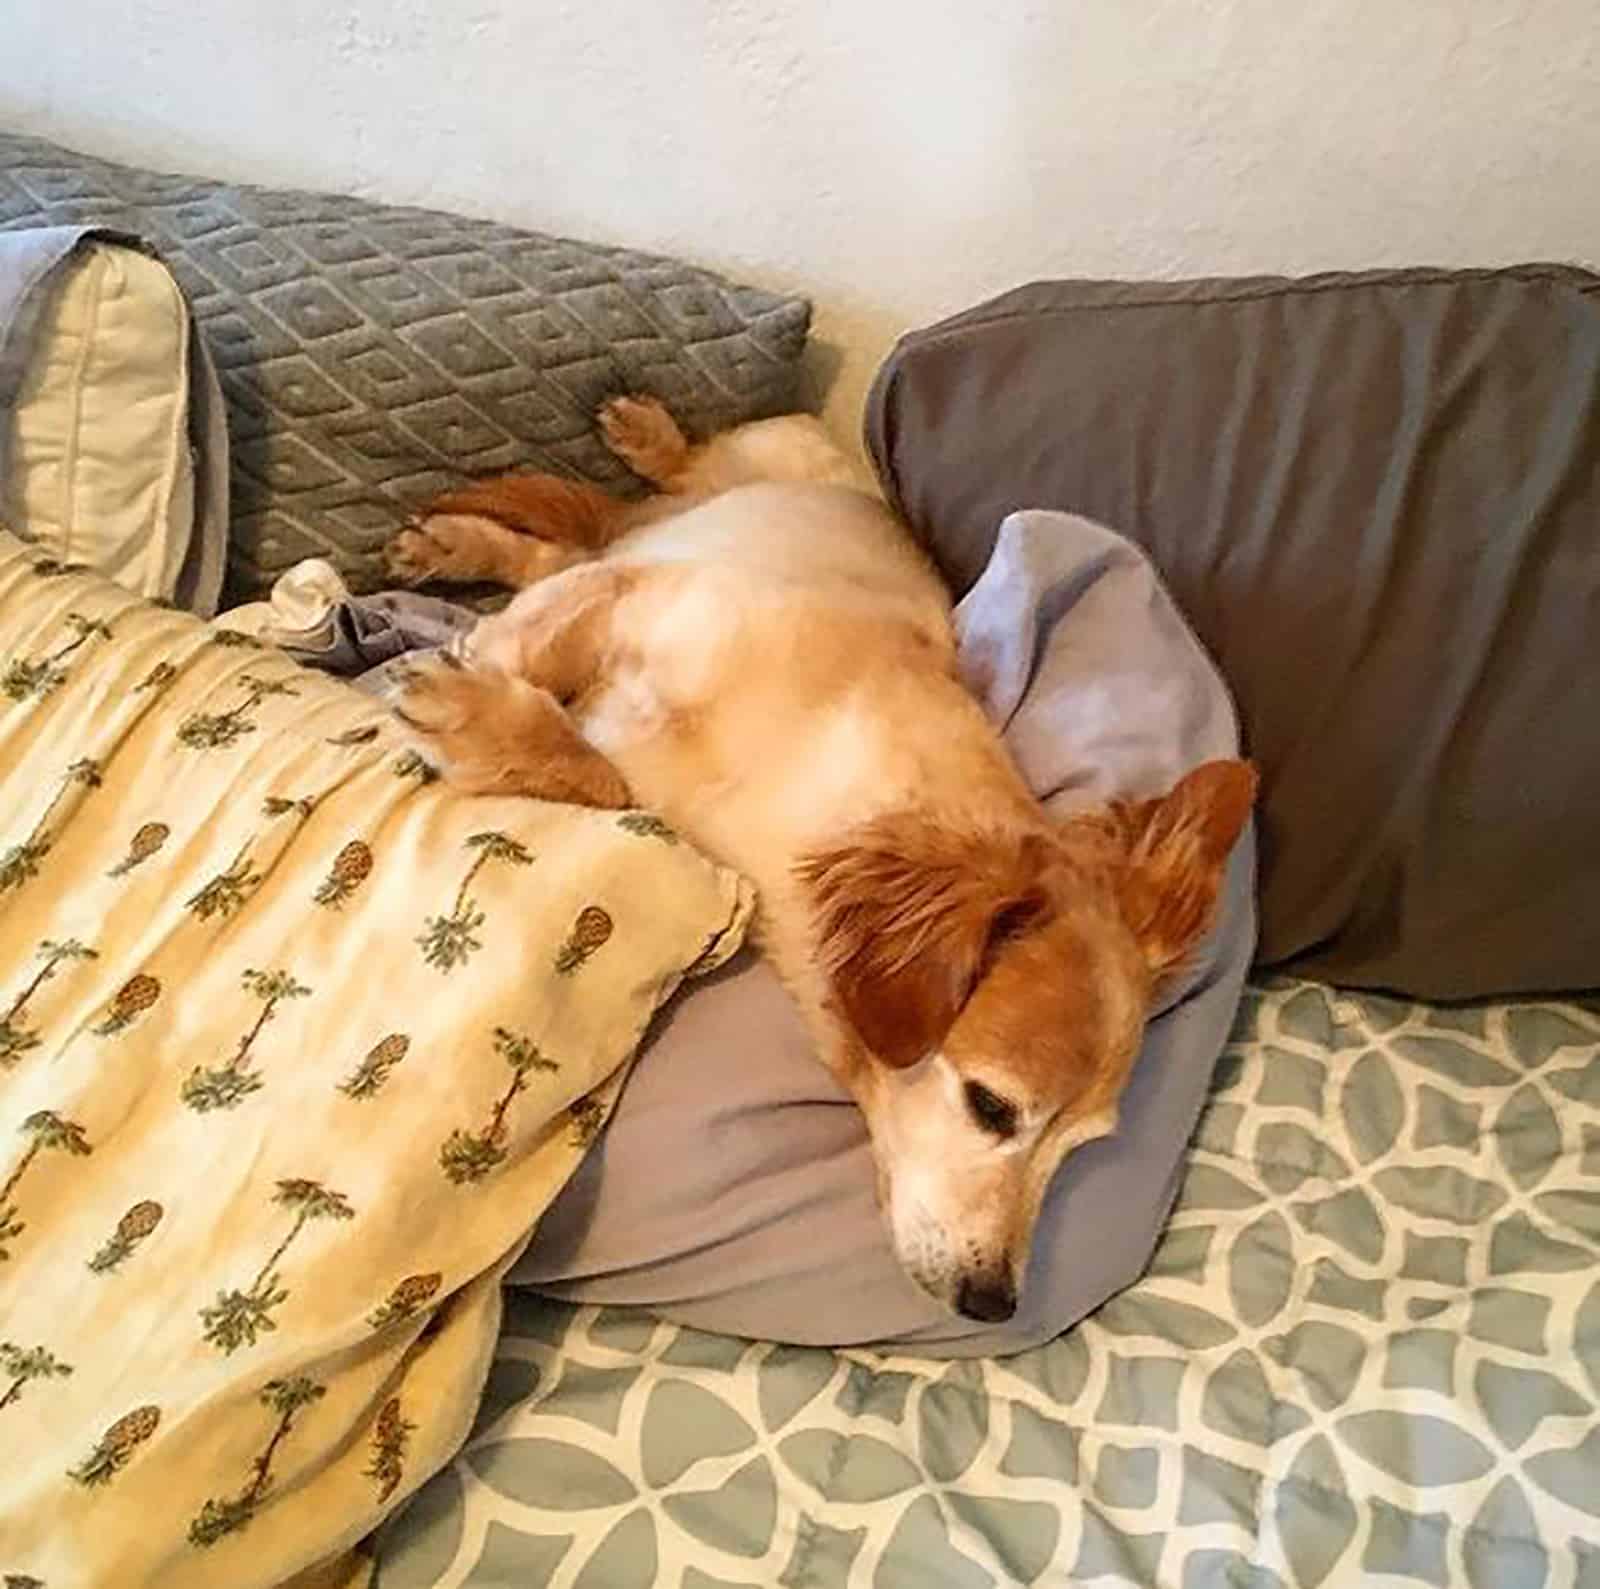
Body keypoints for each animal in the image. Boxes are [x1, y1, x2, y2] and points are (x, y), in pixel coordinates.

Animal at [387, 400, 1248, 1324]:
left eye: (1080, 1146)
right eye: (991, 1107)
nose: (994, 1302)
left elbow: (599, 771)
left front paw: (485, 719)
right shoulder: (627, 599)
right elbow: (542, 669)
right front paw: (471, 702)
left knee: (566, 548)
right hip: (762, 463)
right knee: (640, 501)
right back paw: (617, 451)